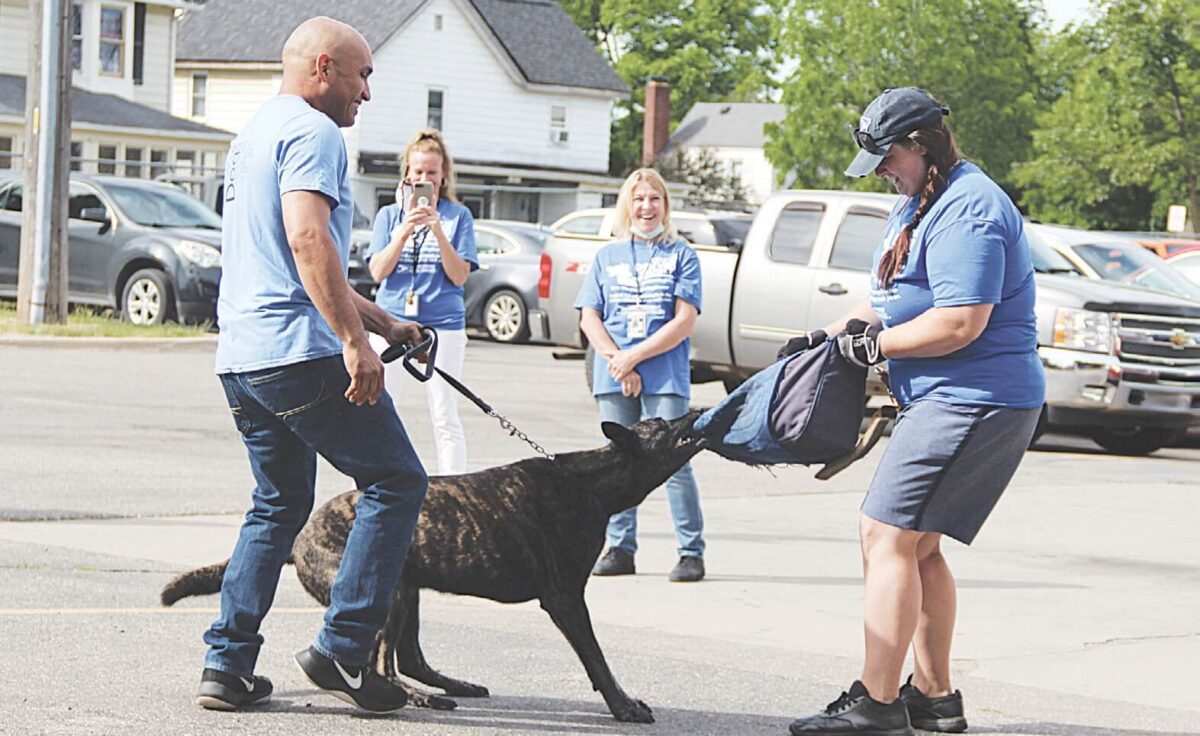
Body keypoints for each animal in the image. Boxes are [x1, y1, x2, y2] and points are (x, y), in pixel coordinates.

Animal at [159, 413, 700, 725]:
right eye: (666, 426)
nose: (695, 408)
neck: (591, 480)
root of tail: (298, 539)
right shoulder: (565, 599)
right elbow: (598, 661)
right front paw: (624, 707)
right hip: (391, 592)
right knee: (383, 665)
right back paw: (413, 699)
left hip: (407, 588)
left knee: (409, 660)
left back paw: (448, 687)